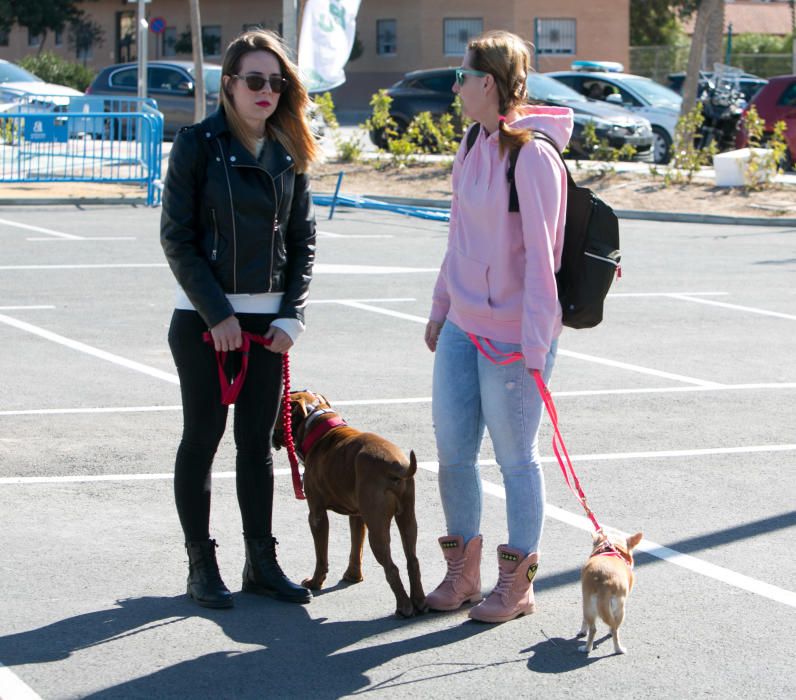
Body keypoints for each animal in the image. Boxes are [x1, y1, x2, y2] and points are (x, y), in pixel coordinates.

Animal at [272, 388, 426, 616]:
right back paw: (420, 602)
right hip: (407, 518)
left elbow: (321, 555)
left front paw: (315, 582)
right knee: (412, 560)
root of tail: (396, 466)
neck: (317, 423)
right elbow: (356, 546)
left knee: (392, 567)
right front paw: (353, 576)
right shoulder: (358, 516)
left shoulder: (317, 515)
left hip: (378, 530)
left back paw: (404, 606)